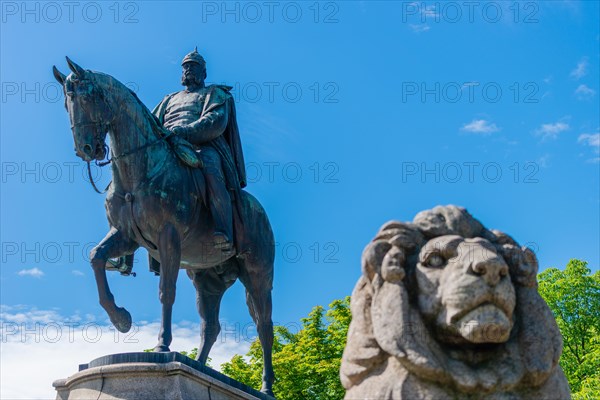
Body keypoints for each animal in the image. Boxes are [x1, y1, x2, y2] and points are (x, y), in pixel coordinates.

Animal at [52, 57, 276, 396]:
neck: (141, 169)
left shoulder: (168, 238)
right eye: (66, 103)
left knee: (264, 327)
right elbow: (96, 258)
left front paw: (162, 346)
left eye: (87, 98)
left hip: (257, 275)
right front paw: (120, 318)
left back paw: (265, 387)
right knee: (210, 325)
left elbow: (165, 291)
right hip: (206, 279)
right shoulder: (126, 236)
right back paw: (198, 365)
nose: (86, 149)